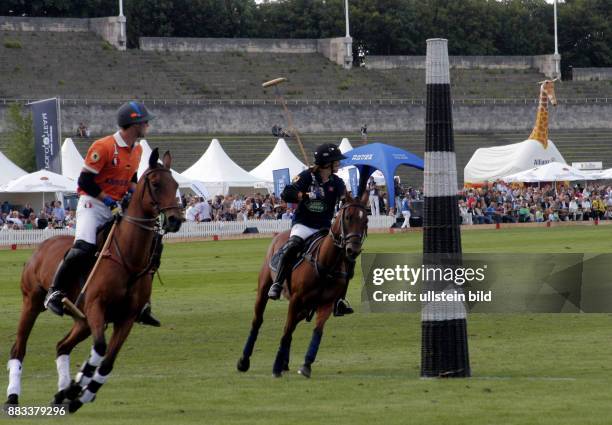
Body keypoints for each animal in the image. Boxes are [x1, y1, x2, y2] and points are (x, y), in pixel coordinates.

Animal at [4, 148, 182, 410]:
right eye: (157, 184)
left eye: (177, 184)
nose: (175, 220)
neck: (128, 257)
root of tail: (42, 246)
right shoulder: (97, 307)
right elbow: (99, 348)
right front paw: (78, 387)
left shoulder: (126, 318)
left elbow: (106, 362)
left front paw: (79, 392)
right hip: (32, 302)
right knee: (19, 348)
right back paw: (13, 397)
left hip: (82, 320)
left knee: (62, 346)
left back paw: (62, 393)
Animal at [237, 190, 366, 376]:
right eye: (348, 217)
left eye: (366, 220)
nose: (352, 250)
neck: (326, 263)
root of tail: (281, 234)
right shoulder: (296, 299)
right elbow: (286, 329)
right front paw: (276, 366)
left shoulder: (326, 303)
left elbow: (316, 331)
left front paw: (306, 364)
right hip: (265, 288)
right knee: (258, 321)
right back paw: (244, 361)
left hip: (306, 306)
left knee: (292, 325)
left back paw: (284, 362)